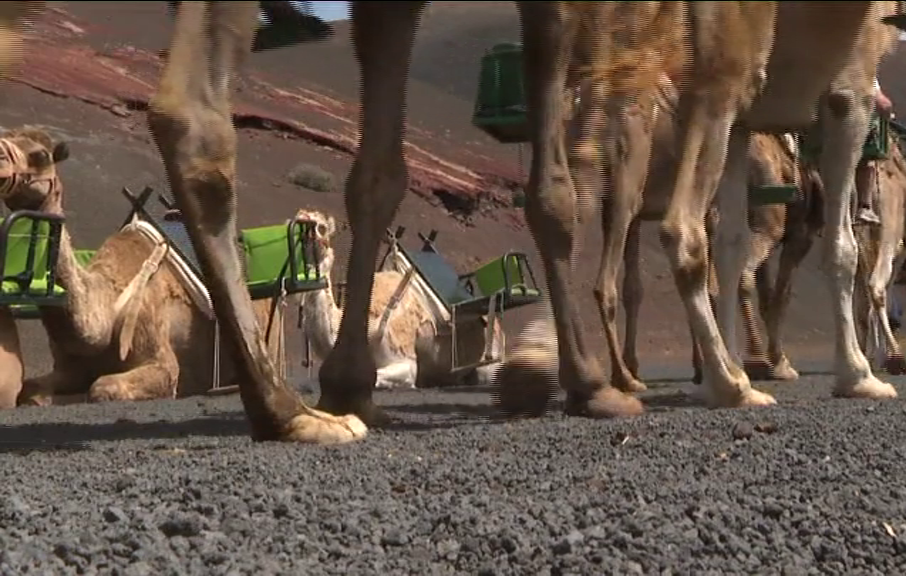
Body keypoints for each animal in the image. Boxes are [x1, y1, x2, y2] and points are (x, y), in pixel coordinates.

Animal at [0, 127, 286, 404]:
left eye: (41, 156)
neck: (108, 304)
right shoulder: (69, 367)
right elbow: (31, 390)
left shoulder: (159, 355)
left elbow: (102, 387)